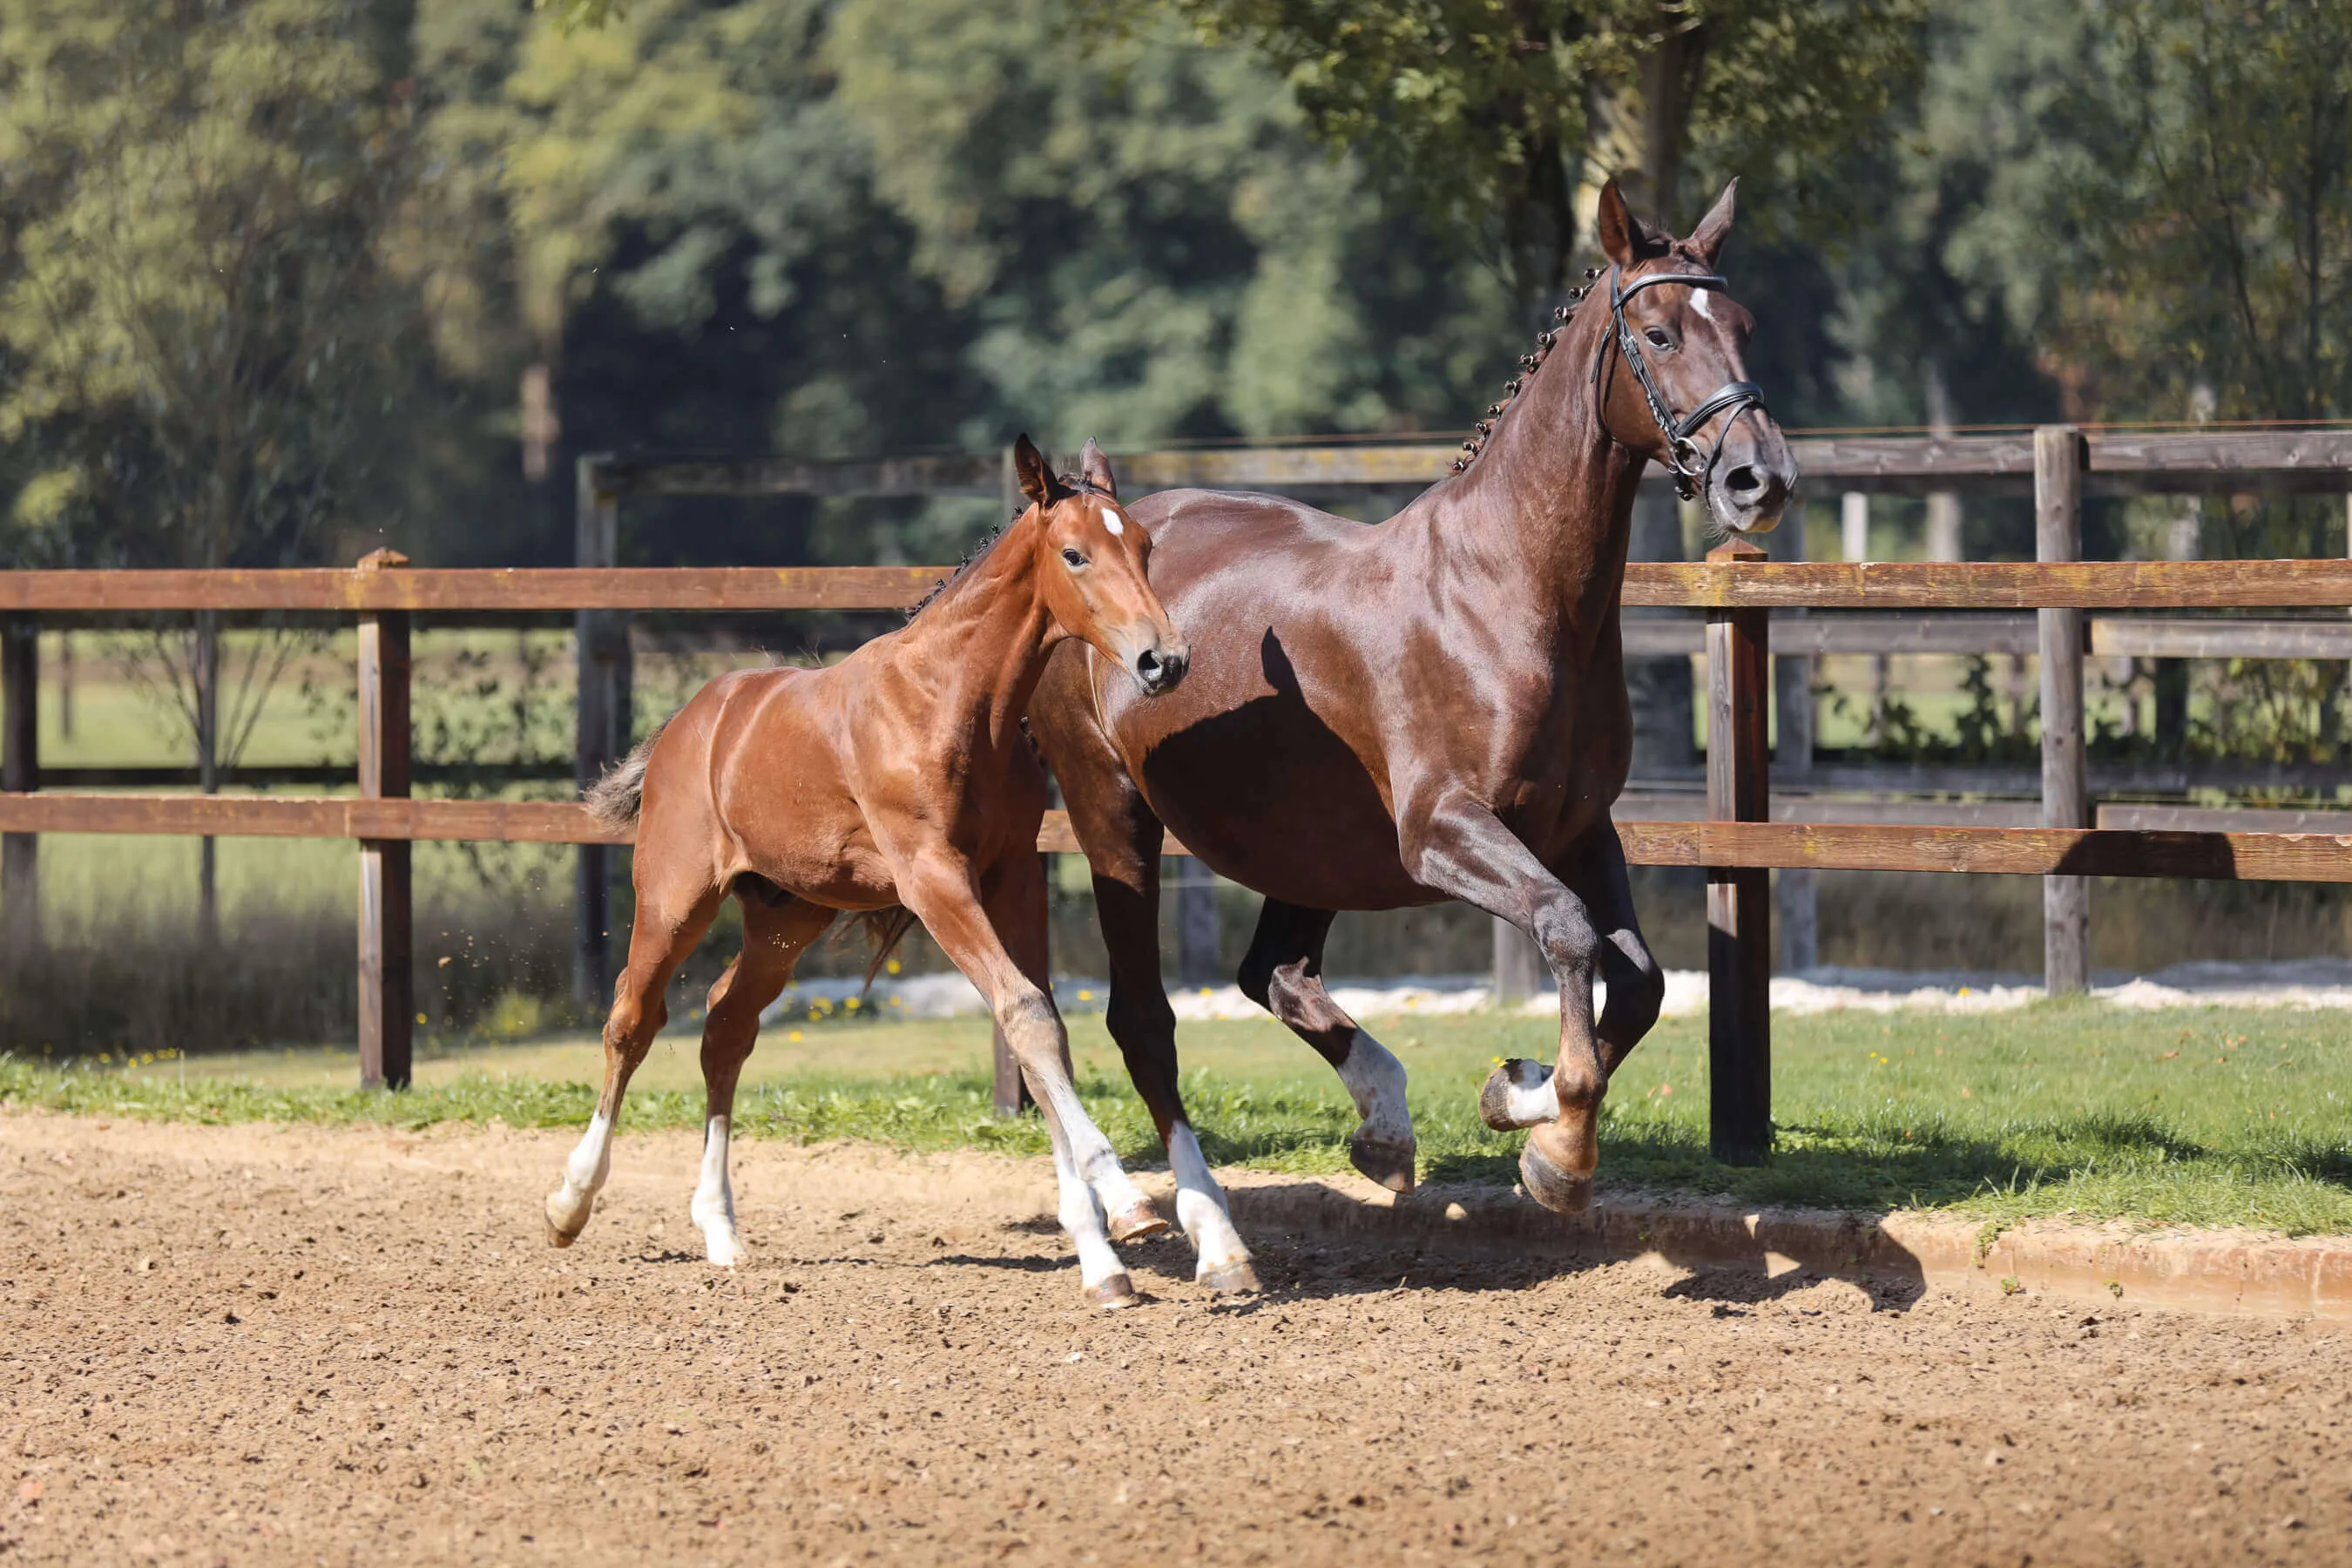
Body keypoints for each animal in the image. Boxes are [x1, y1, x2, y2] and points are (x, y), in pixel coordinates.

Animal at [546, 435, 1195, 1308]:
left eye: (1146, 548)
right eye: (1074, 554)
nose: (1164, 661)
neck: (951, 703)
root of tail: (688, 720)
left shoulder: (1011, 876)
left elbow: (1035, 1021)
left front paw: (1103, 1257)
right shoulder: (932, 879)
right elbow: (1027, 1015)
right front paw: (1125, 1205)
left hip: (787, 916)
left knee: (725, 1024)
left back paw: (720, 1229)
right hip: (674, 900)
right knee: (631, 1021)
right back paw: (570, 1203)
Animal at [1025, 179, 1797, 1293]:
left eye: (1744, 325)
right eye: (1659, 333)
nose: (1760, 481)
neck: (1507, 592)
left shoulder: (1577, 828)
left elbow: (1642, 982)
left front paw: (1519, 1096)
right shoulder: (1442, 831)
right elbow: (1568, 933)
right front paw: (1560, 1148)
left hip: (1303, 848)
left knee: (1274, 974)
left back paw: (1384, 1126)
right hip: (1113, 815)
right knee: (1145, 1021)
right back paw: (1210, 1238)